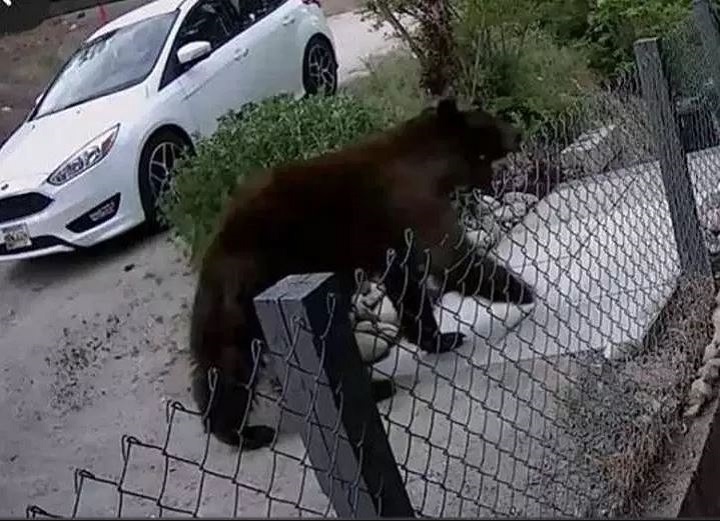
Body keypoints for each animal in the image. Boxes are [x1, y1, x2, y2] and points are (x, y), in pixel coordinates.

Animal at [189, 97, 535, 450]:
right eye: (491, 121)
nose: (519, 132)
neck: (434, 166)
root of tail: (213, 252)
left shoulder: (395, 244)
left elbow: (408, 287)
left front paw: (439, 337)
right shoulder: (413, 204)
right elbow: (450, 259)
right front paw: (521, 291)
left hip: (234, 311)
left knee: (224, 360)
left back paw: (228, 425)